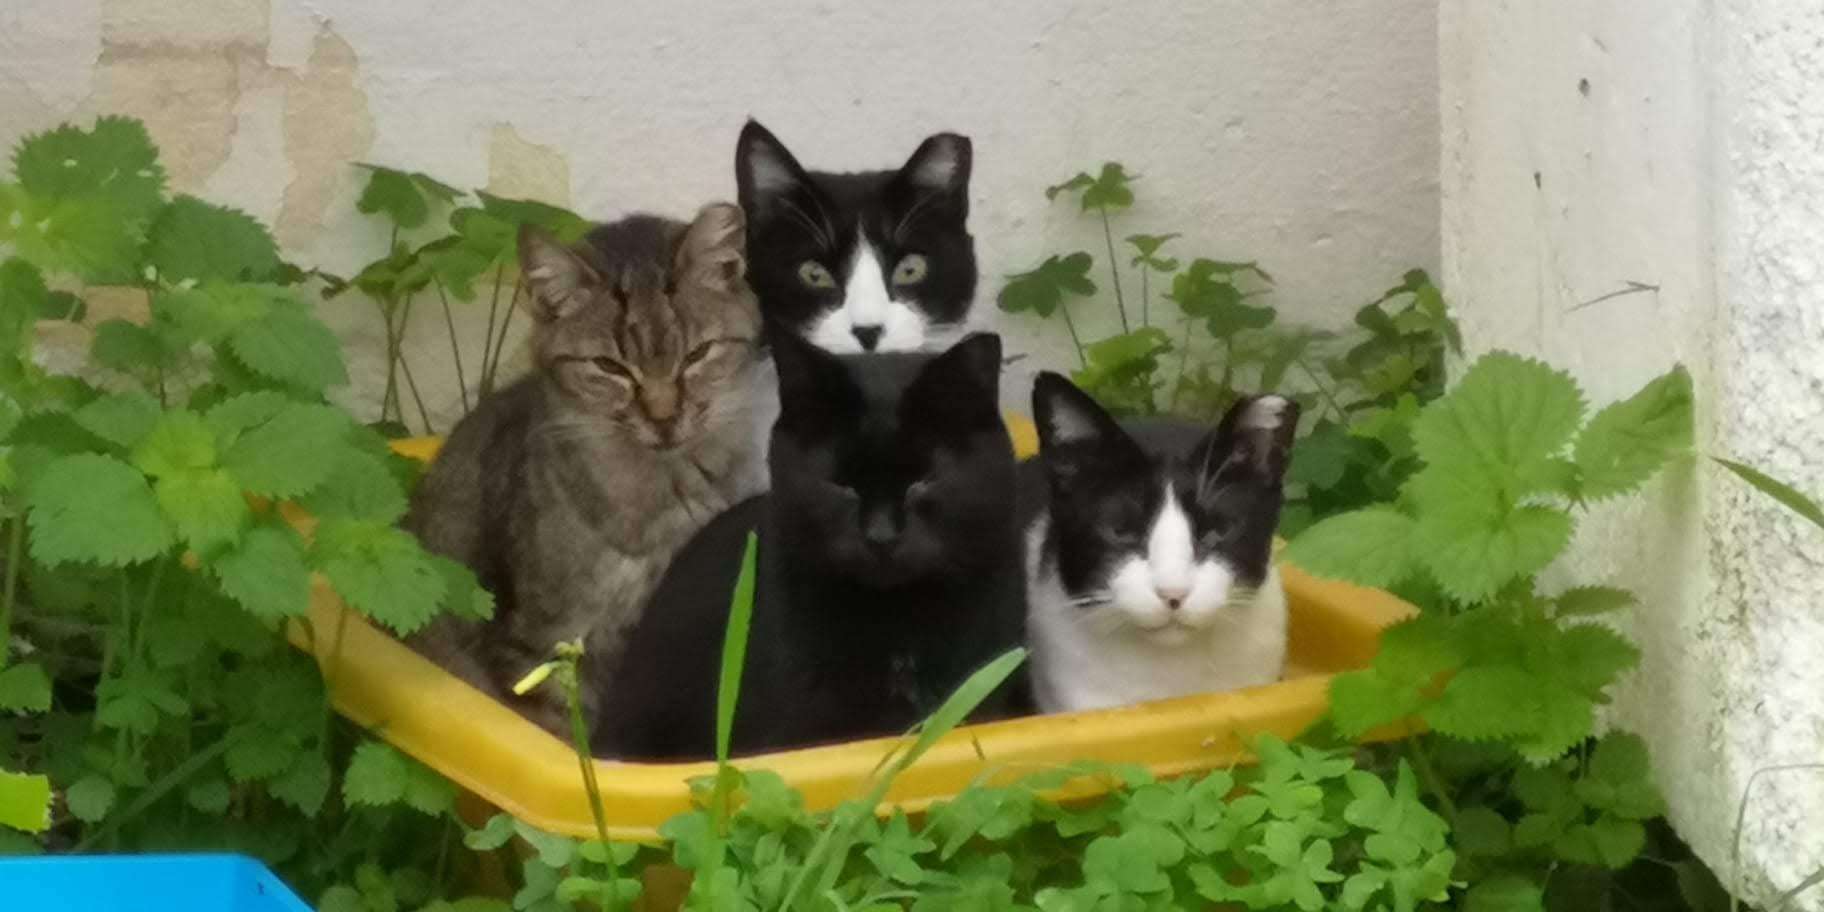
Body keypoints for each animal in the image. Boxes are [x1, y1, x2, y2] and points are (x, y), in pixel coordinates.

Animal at [404, 203, 769, 735]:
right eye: (609, 367)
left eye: (696, 355)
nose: (663, 418)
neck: (658, 499)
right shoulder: (539, 649)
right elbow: (573, 741)